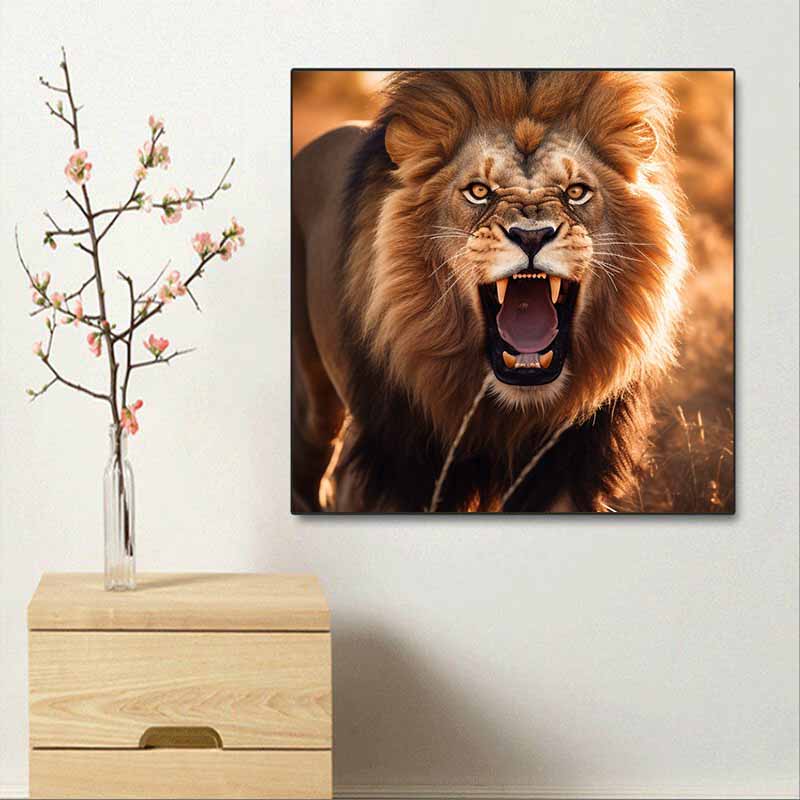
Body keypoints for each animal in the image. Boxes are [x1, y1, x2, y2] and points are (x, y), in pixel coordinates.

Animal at [292, 70, 687, 512]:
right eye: (479, 191)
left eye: (576, 192)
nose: (532, 236)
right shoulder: (401, 469)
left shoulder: (567, 468)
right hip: (313, 405)